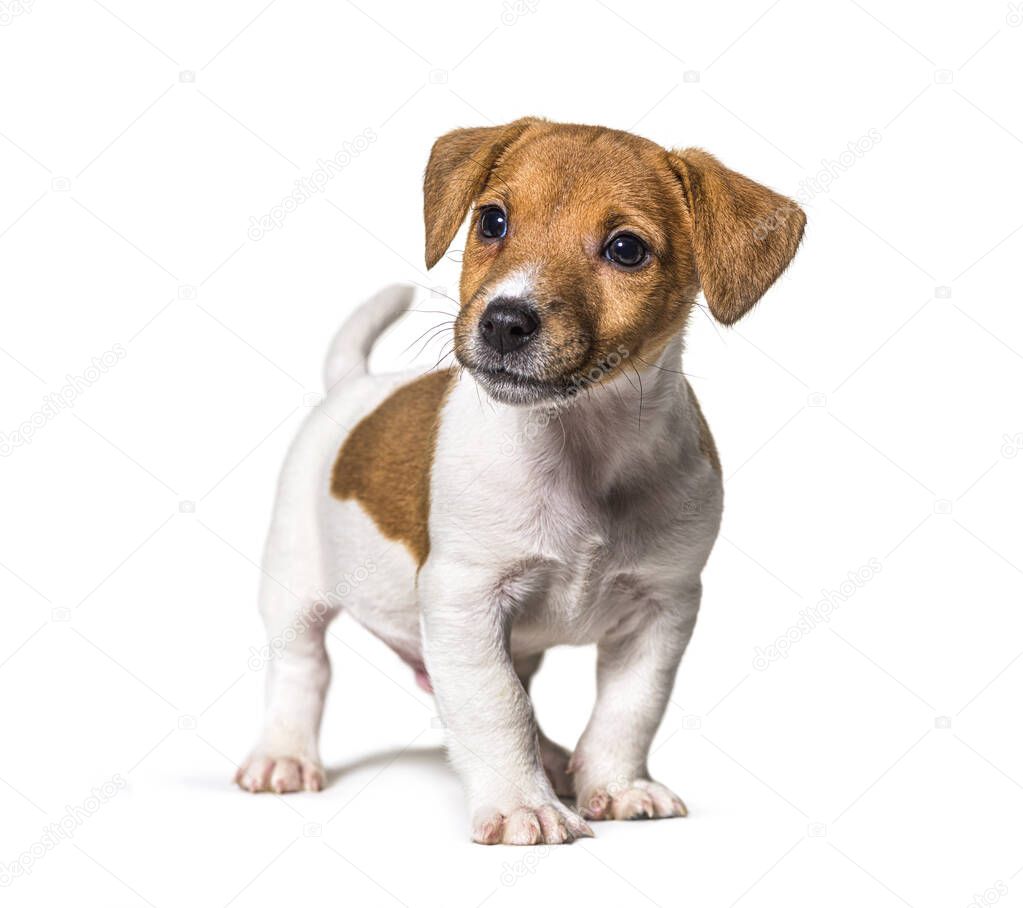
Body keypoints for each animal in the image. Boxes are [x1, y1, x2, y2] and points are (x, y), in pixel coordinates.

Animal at [235, 117, 802, 846]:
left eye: (626, 249)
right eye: (492, 220)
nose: (504, 320)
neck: (578, 447)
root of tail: (353, 386)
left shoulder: (663, 606)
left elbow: (631, 707)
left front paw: (615, 785)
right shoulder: (466, 600)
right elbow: (495, 705)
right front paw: (518, 805)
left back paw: (559, 760)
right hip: (295, 580)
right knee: (301, 668)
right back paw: (283, 755)